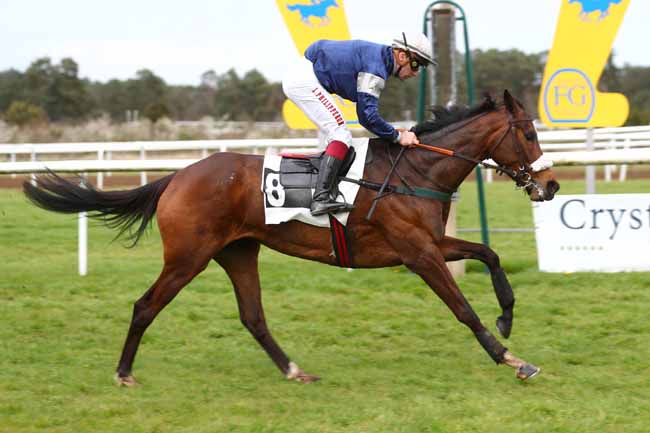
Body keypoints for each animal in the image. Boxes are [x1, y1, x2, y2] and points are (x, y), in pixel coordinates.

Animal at [23, 90, 560, 386]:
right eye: (530, 134)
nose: (552, 185)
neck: (416, 171)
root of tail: (176, 176)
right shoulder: (418, 254)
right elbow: (462, 308)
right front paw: (512, 358)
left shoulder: (431, 244)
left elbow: (489, 253)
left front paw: (507, 317)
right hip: (187, 257)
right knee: (145, 305)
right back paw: (123, 373)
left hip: (238, 252)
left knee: (253, 317)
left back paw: (293, 370)